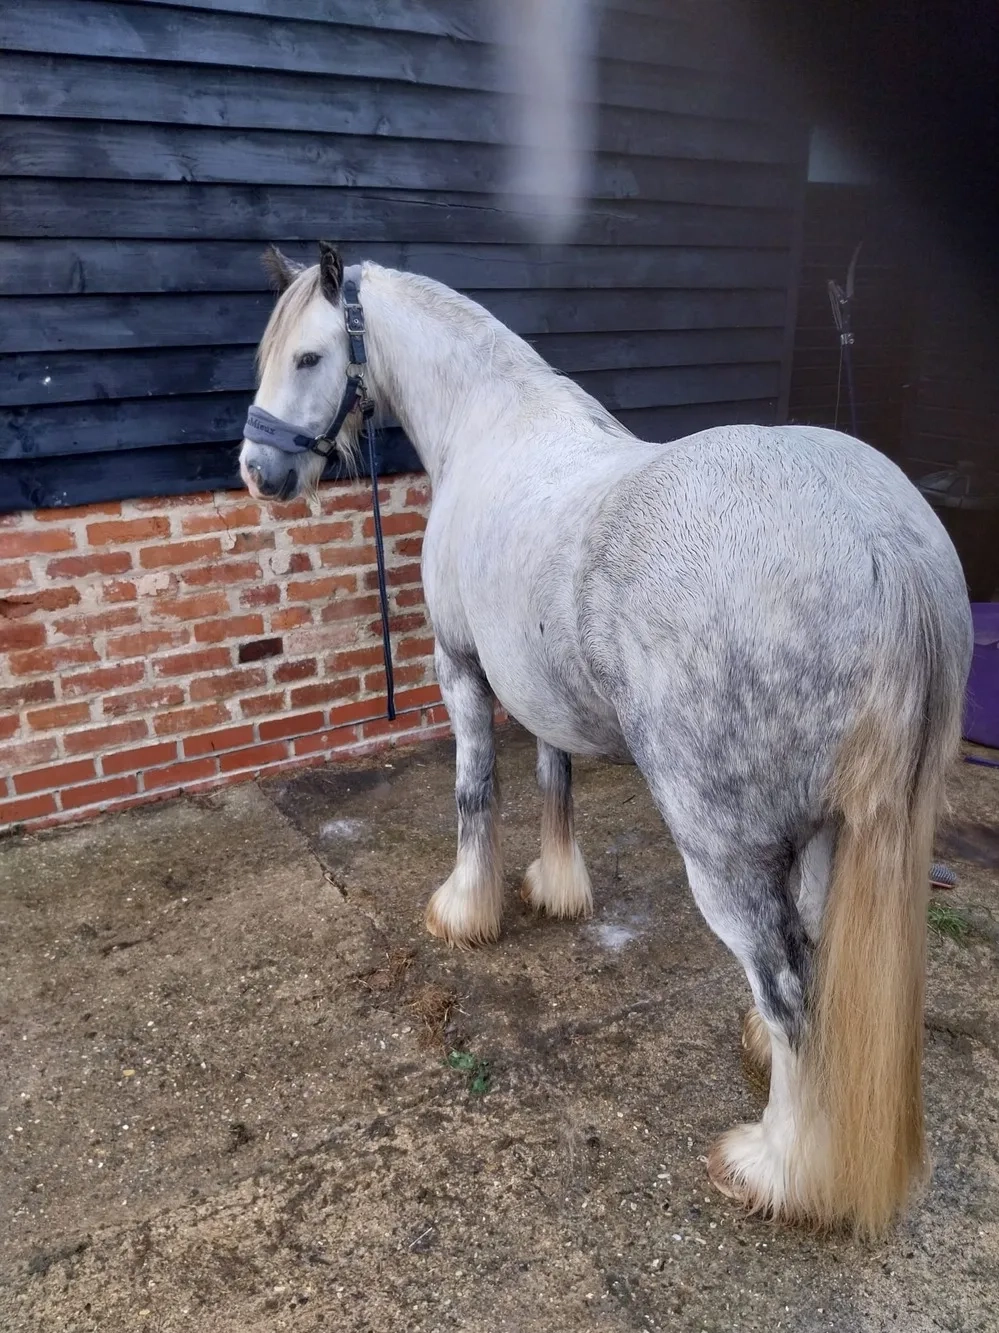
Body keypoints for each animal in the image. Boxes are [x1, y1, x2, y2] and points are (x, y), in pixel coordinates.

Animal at [239, 242, 972, 1238]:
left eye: (309, 356)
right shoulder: (539, 688)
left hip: (725, 849)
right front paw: (556, 889)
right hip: (834, 827)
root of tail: (883, 543)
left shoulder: (462, 669)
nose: (257, 472)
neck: (494, 426)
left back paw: (775, 1165)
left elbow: (474, 793)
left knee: (786, 987)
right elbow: (555, 781)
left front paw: (466, 909)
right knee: (814, 957)